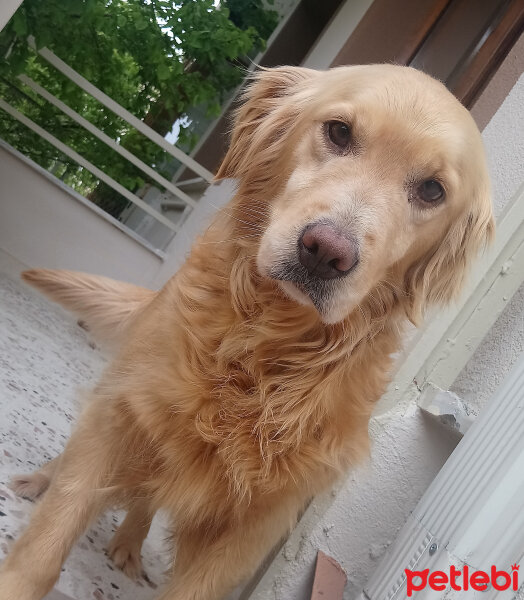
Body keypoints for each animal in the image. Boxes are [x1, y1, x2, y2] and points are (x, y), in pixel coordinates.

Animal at [0, 62, 494, 600]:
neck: (261, 347)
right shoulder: (122, 412)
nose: (325, 252)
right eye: (339, 132)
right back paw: (38, 481)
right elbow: (50, 536)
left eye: (432, 191)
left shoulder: (253, 527)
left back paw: (128, 544)